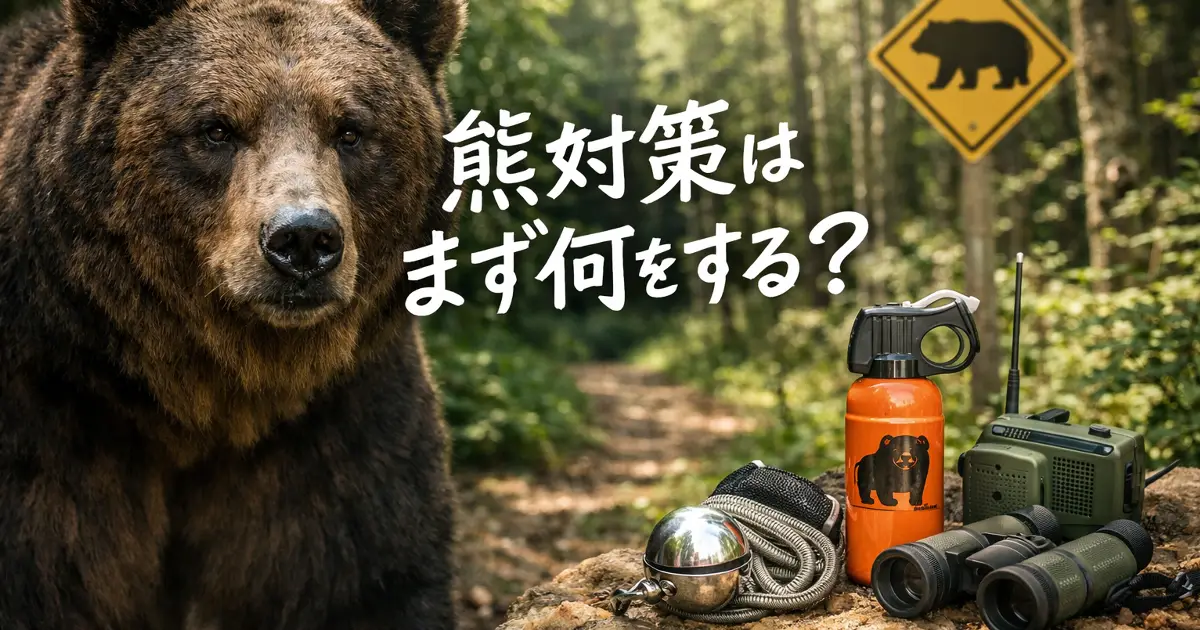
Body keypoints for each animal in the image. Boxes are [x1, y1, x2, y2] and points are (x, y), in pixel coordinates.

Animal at [0, 0, 467, 628]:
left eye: (350, 129)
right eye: (216, 128)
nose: (303, 240)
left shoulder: (340, 421)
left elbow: (367, 574)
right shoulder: (53, 407)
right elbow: (41, 576)